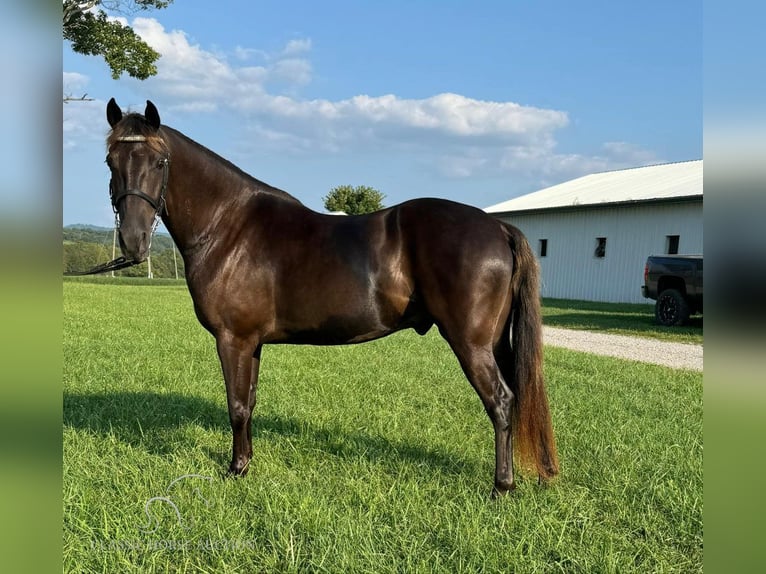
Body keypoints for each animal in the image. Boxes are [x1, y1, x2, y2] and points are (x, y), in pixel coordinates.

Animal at [102, 98, 560, 496]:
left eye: (160, 162)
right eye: (111, 161)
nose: (133, 241)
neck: (230, 227)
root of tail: (497, 226)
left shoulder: (233, 339)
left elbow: (236, 405)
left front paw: (235, 470)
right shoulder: (252, 343)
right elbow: (249, 402)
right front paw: (246, 464)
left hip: (471, 343)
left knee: (500, 402)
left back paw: (501, 487)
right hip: (496, 342)